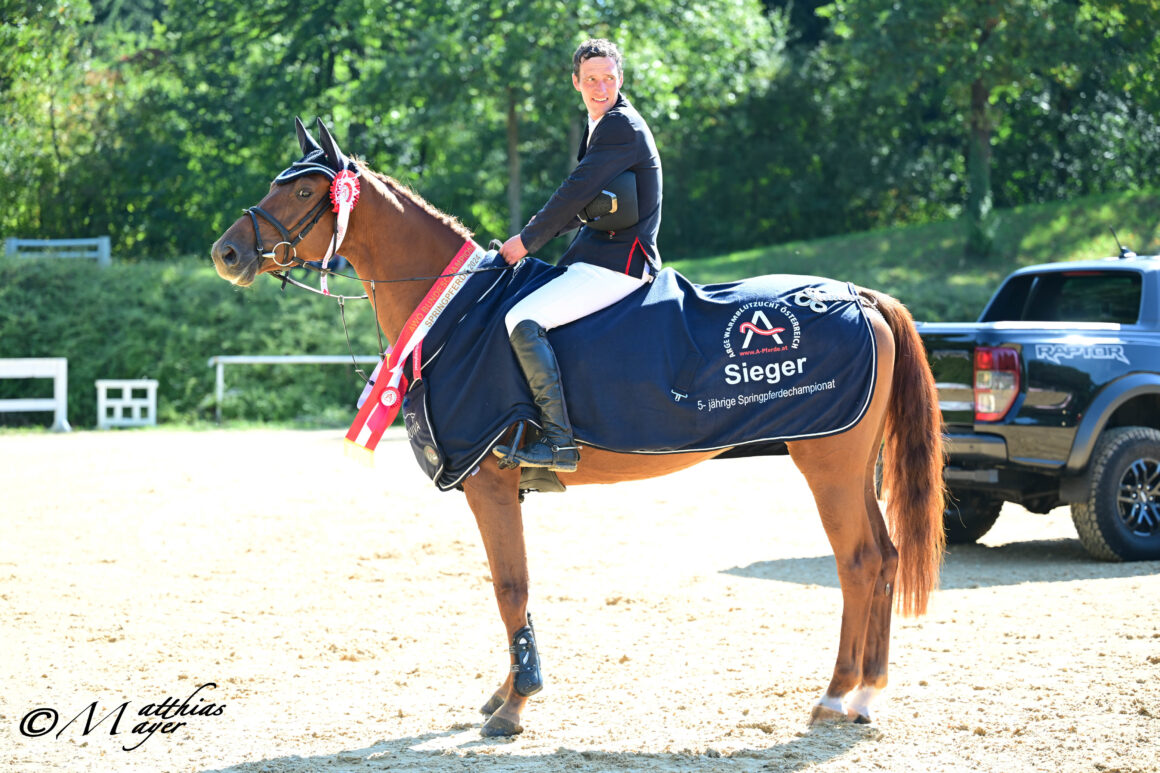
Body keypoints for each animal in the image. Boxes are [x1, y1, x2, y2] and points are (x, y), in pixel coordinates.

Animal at [208, 118, 941, 733]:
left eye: (305, 189)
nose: (226, 253)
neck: (455, 313)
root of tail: (858, 295)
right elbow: (511, 587)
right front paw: (505, 691)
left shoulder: (489, 482)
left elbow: (511, 586)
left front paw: (517, 703)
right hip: (851, 464)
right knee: (882, 557)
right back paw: (867, 692)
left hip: (828, 463)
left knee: (859, 560)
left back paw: (839, 694)